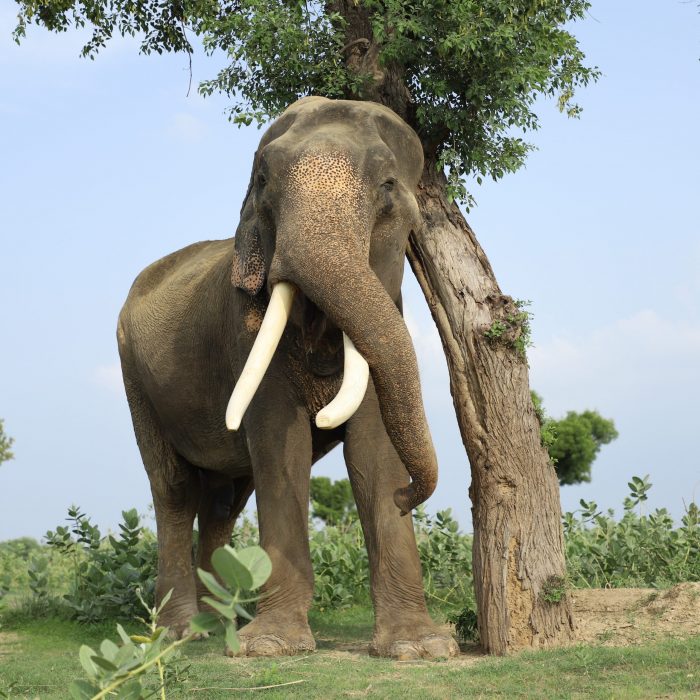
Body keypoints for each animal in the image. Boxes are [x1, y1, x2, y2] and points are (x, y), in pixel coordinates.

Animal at [117, 96, 459, 660]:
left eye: (388, 186)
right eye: (262, 181)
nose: (409, 497)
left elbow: (374, 451)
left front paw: (421, 648)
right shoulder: (246, 336)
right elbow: (282, 450)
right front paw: (268, 646)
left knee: (223, 501)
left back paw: (219, 625)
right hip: (133, 374)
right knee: (175, 490)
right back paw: (182, 635)